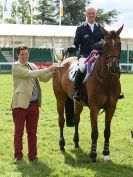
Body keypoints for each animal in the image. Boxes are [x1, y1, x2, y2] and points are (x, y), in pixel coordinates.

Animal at [52, 24, 123, 162]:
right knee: (61, 120)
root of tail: (63, 62)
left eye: (119, 44)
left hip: (78, 103)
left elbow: (107, 131)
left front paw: (106, 153)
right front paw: (93, 154)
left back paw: (76, 142)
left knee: (76, 120)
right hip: (60, 98)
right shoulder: (94, 108)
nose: (114, 68)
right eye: (105, 45)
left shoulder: (111, 107)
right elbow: (95, 132)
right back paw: (62, 144)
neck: (107, 81)